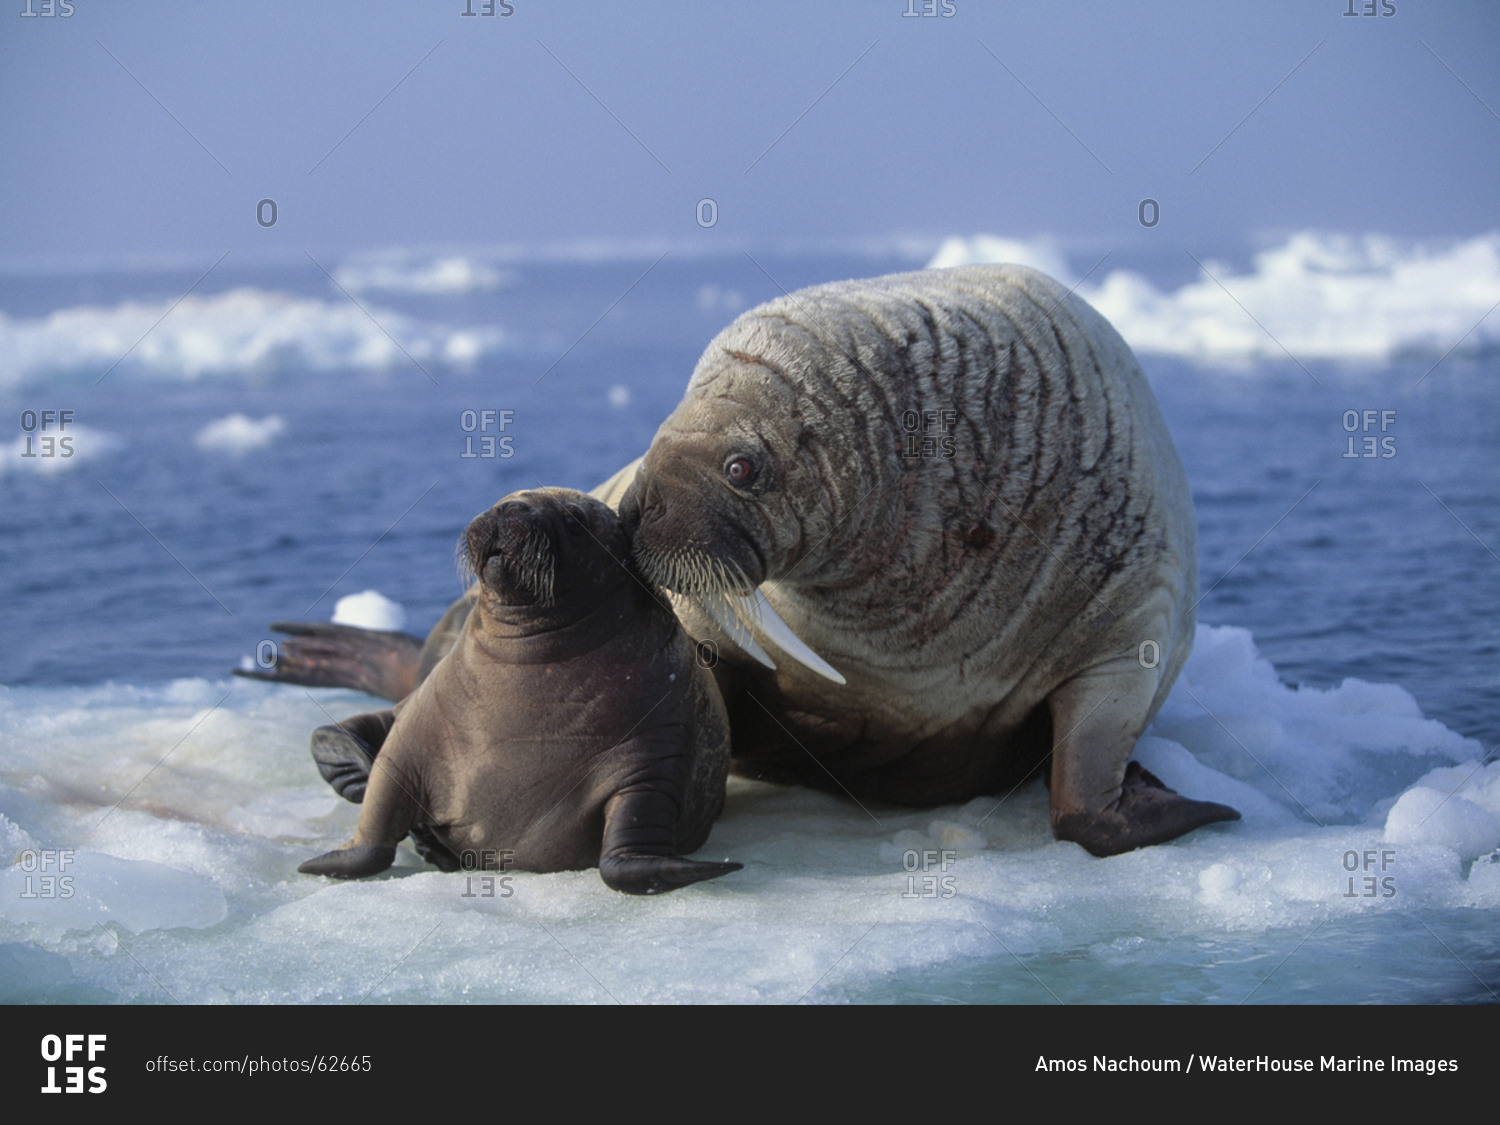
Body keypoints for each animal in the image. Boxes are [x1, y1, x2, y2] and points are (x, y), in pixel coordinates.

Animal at [295, 489, 741, 894]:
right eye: (501, 500)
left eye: (574, 520)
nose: (509, 507)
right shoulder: (411, 736)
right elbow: (376, 825)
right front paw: (324, 862)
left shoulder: (654, 753)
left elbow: (625, 857)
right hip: (412, 701)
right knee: (343, 732)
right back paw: (351, 770)